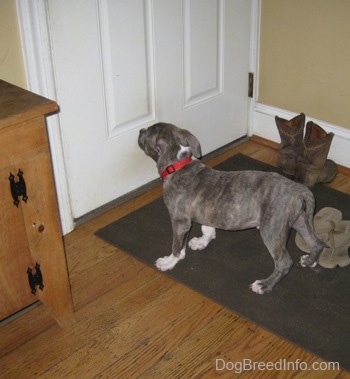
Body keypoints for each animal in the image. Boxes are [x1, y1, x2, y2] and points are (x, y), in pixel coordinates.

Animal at [137, 123, 326, 296]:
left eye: (147, 132)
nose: (140, 130)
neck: (178, 164)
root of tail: (298, 189)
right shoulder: (202, 214)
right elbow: (206, 229)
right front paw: (201, 242)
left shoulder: (179, 221)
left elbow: (176, 245)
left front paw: (169, 261)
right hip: (299, 220)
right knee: (316, 243)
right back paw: (310, 261)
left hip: (272, 230)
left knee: (284, 263)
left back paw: (264, 285)